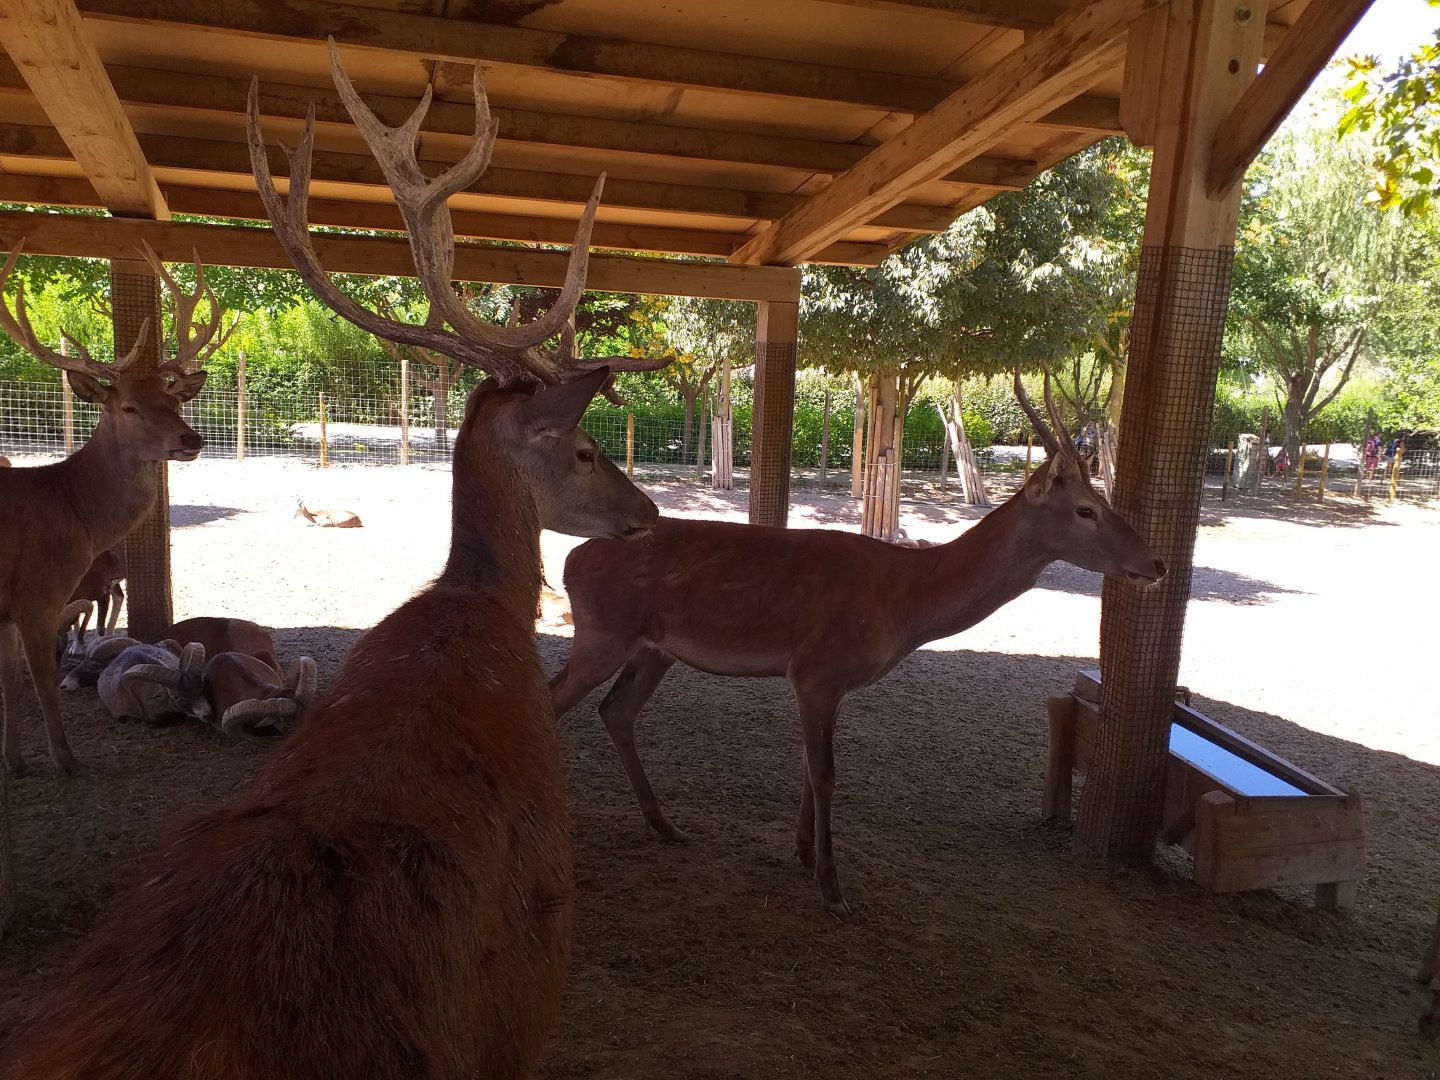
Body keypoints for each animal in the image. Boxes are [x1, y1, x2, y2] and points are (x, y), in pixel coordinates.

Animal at [0, 244, 222, 776]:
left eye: (171, 399)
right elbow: (40, 680)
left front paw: (14, 762)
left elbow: (10, 683)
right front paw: (66, 761)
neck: (69, 507)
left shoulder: (9, 609)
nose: (192, 439)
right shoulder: (35, 595)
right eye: (128, 407)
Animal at [550, 372, 1168, 919]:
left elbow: (810, 764)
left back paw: (663, 824)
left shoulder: (831, 684)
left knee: (615, 711)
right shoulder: (817, 671)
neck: (904, 605)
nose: (1158, 564)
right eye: (1087, 510)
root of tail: (570, 559)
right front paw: (832, 888)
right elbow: (825, 772)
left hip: (654, 650)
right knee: (552, 699)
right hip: (602, 635)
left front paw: (803, 854)